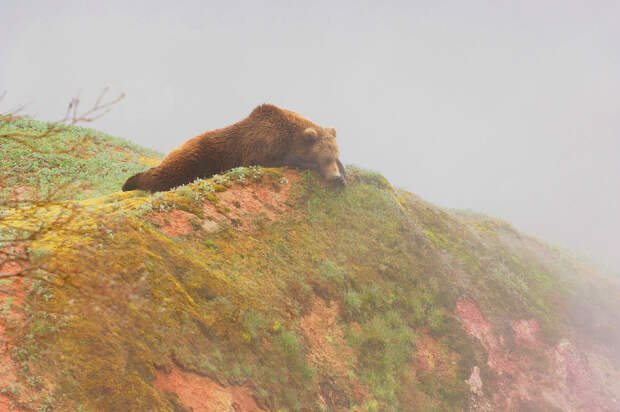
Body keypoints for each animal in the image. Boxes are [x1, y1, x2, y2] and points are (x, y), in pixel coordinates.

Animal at [120, 104, 344, 192]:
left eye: (335, 155)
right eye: (325, 158)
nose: (334, 177)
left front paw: (343, 175)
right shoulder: (259, 144)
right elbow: (272, 159)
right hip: (197, 156)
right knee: (166, 175)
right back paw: (130, 182)